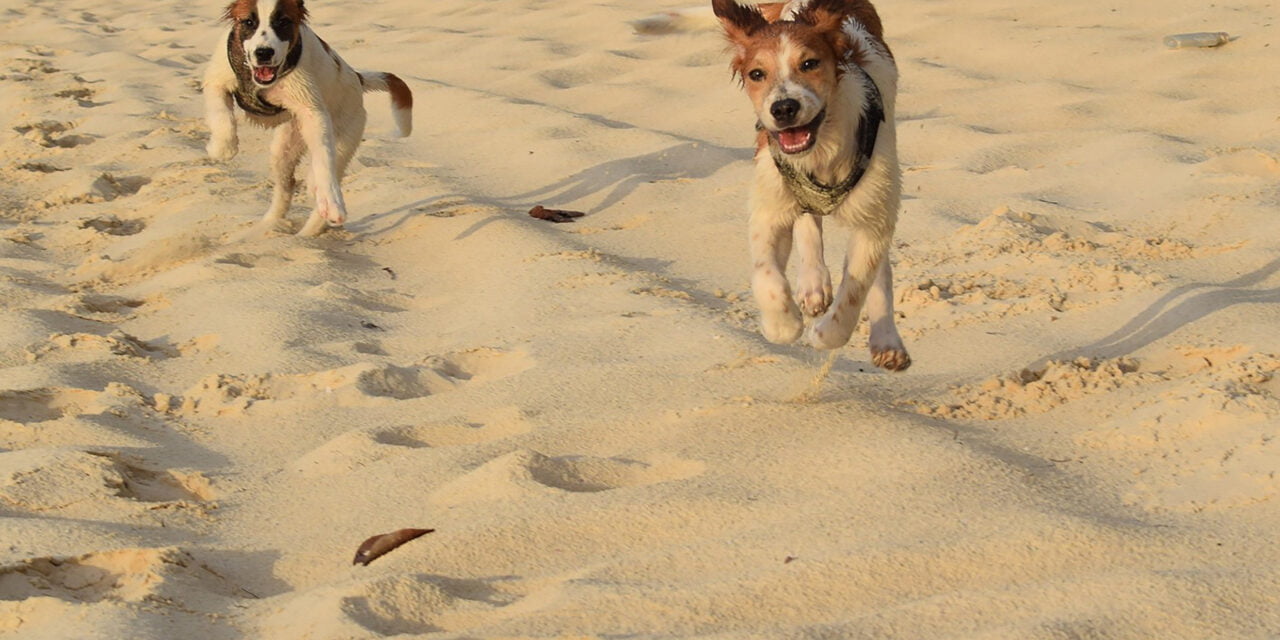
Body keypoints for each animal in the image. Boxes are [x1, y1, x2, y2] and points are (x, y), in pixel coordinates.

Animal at [202, 0, 409, 236]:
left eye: (283, 22)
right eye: (248, 22)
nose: (263, 53)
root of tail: (358, 78)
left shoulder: (313, 112)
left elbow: (323, 160)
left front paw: (332, 200)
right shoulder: (216, 82)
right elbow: (221, 115)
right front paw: (222, 148)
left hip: (345, 136)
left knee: (323, 175)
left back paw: (307, 232)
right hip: (284, 149)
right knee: (286, 186)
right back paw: (269, 226)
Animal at [711, 0, 911, 371]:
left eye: (809, 64)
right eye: (756, 74)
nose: (784, 108)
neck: (819, 154)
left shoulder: (873, 219)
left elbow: (856, 288)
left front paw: (827, 335)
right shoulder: (770, 204)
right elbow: (766, 275)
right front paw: (783, 325)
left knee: (880, 269)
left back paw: (887, 341)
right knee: (807, 222)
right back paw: (813, 284)